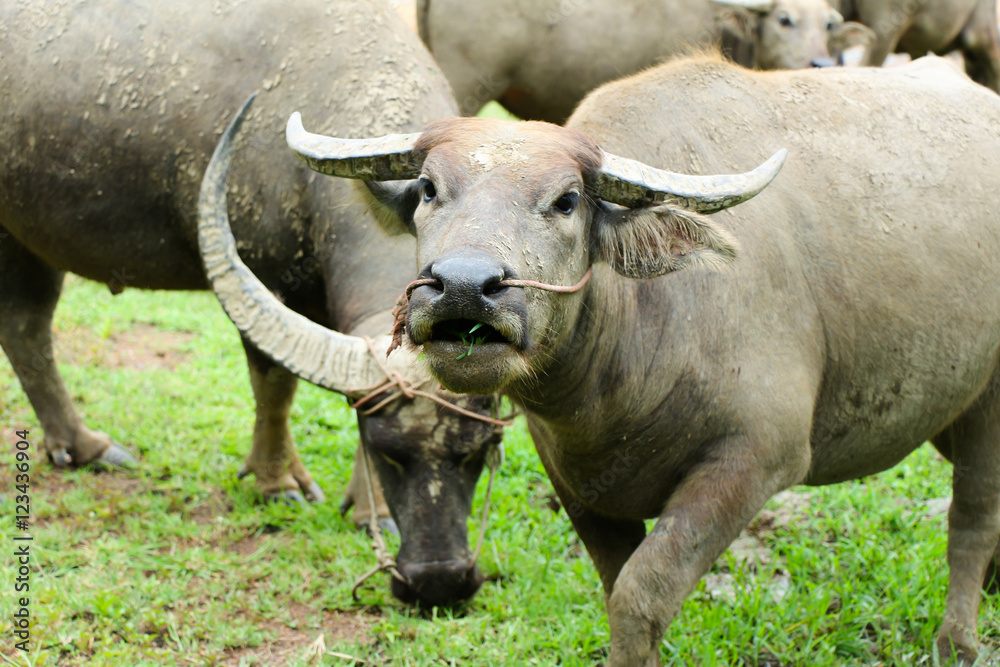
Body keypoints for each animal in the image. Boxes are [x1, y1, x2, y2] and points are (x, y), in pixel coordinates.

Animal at [0, 0, 499, 606]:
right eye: (384, 450)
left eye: (479, 449)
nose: (438, 581)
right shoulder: (264, 273)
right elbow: (274, 384)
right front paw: (276, 481)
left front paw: (369, 512)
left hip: (24, 237)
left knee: (24, 327)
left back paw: (81, 445)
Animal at [276, 54, 1000, 663]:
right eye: (428, 188)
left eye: (566, 200)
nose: (461, 285)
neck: (625, 364)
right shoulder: (579, 484)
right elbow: (614, 582)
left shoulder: (754, 459)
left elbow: (640, 594)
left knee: (970, 517)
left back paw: (958, 638)